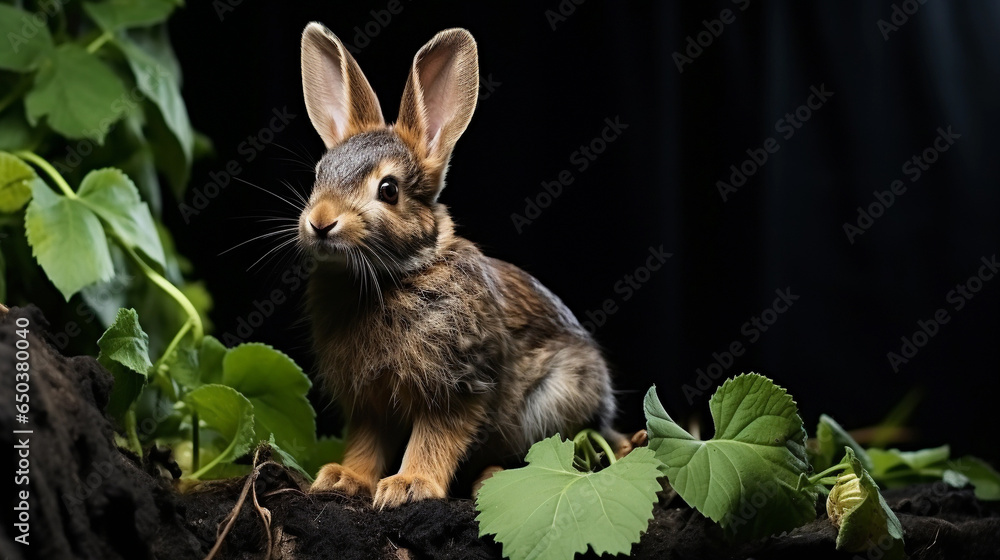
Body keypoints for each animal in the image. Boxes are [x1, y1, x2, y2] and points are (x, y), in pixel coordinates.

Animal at [298, 22, 631, 509]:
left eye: (388, 190)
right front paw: (344, 479)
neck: (398, 272)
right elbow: (366, 443)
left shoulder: (460, 385)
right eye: (319, 175)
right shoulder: (369, 402)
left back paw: (493, 479)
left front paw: (408, 485)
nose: (320, 222)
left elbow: (435, 438)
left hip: (552, 401)